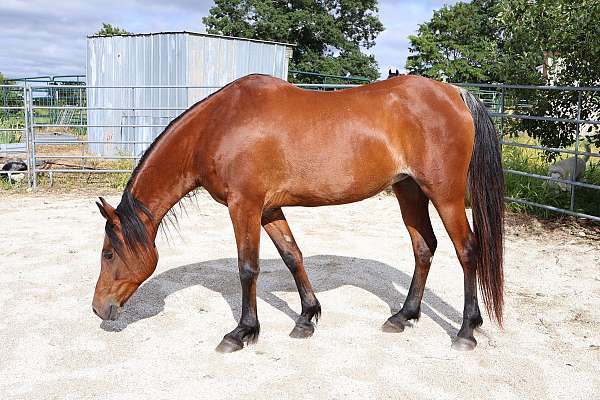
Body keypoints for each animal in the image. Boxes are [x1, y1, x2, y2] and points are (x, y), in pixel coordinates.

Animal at [94, 73, 504, 352]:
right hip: (409, 191)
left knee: (467, 249)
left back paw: (466, 330)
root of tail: (456, 94)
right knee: (424, 247)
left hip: (445, 195)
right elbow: (292, 256)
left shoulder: (244, 205)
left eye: (108, 253)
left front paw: (242, 332)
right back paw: (403, 316)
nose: (99, 309)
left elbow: (247, 269)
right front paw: (307, 317)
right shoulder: (268, 208)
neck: (218, 125)